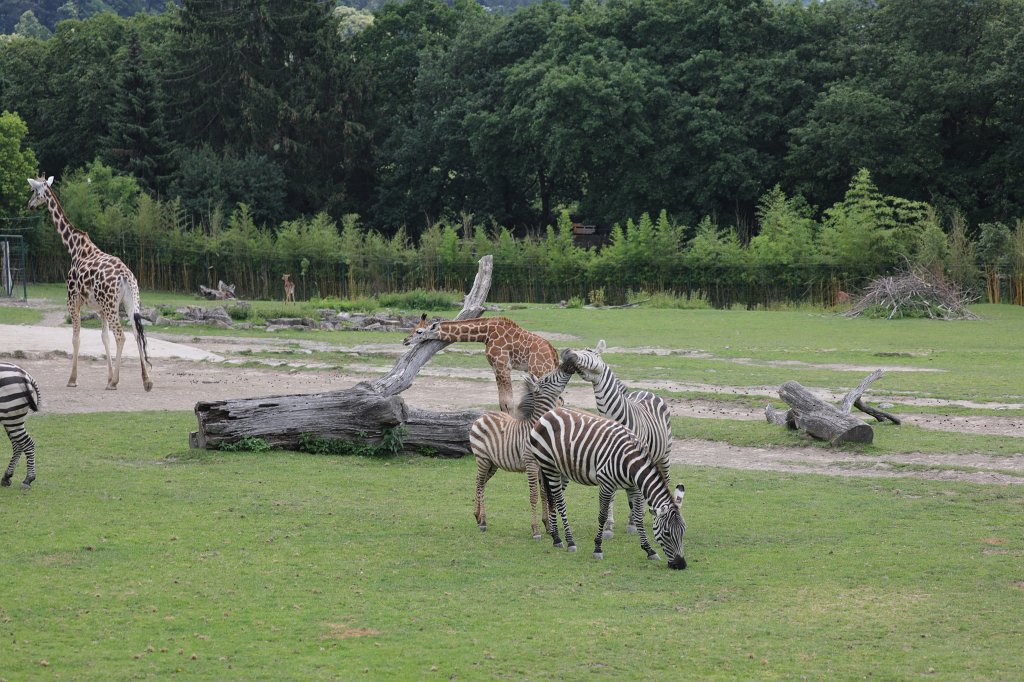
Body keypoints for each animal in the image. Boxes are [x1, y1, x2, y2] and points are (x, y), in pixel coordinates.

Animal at [468, 361, 574, 538]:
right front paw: (536, 530)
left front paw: (548, 526)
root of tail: (483, 416)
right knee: (481, 483)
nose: (566, 365)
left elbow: (543, 493)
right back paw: (483, 521)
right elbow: (533, 495)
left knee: (479, 481)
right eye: (548, 378)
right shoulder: (531, 464)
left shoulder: (542, 466)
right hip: (482, 458)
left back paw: (477, 516)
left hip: (493, 463)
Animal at [529, 406, 687, 569]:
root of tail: (550, 412)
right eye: (667, 533)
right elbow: (602, 516)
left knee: (552, 499)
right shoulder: (606, 485)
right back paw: (569, 541)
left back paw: (556, 538)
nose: (681, 564)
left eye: (683, 531)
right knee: (560, 502)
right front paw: (597, 548)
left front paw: (649, 550)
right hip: (548, 466)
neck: (630, 464)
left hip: (560, 470)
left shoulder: (634, 488)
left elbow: (638, 516)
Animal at [561, 341, 673, 537]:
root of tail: (646, 391)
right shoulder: (604, 459)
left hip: (665, 454)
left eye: (589, 351)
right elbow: (613, 494)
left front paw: (633, 522)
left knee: (663, 480)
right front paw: (609, 525)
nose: (566, 352)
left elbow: (635, 491)